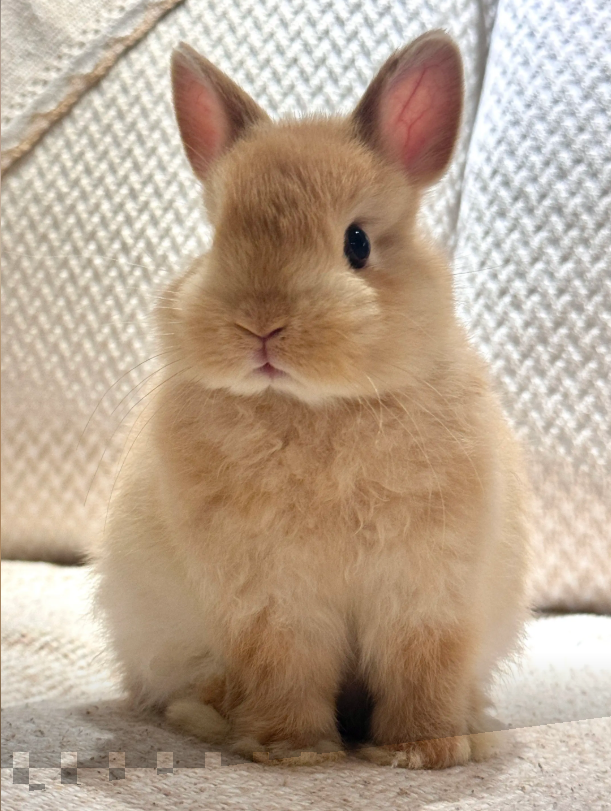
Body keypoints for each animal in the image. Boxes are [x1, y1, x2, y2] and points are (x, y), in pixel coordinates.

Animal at [96, 31, 530, 768]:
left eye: (357, 242)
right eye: (218, 238)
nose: (261, 325)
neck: (315, 408)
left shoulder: (428, 592)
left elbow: (422, 665)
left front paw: (425, 751)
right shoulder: (271, 601)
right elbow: (286, 667)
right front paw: (293, 751)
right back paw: (210, 717)